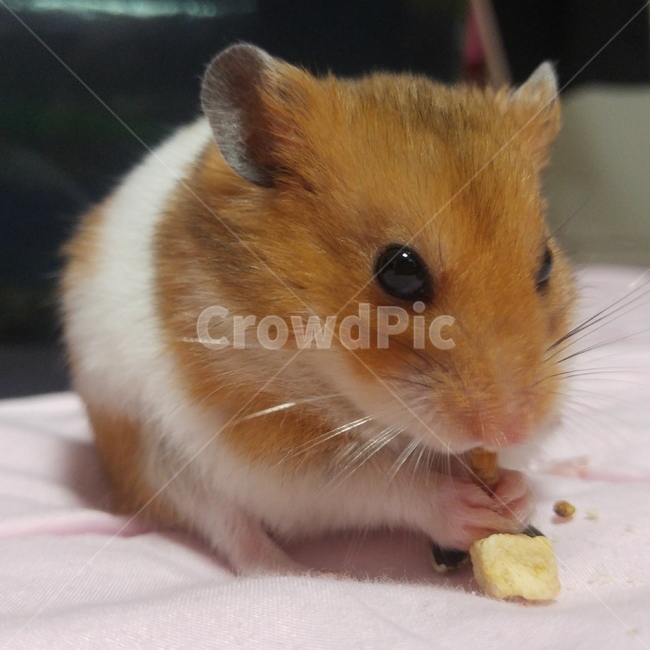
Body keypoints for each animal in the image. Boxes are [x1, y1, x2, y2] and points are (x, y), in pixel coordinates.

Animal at [61, 44, 576, 575]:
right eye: (400, 270)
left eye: (545, 263)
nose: (511, 428)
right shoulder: (265, 448)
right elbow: (377, 482)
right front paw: (468, 506)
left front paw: (515, 492)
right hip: (152, 452)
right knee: (228, 526)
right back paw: (289, 572)